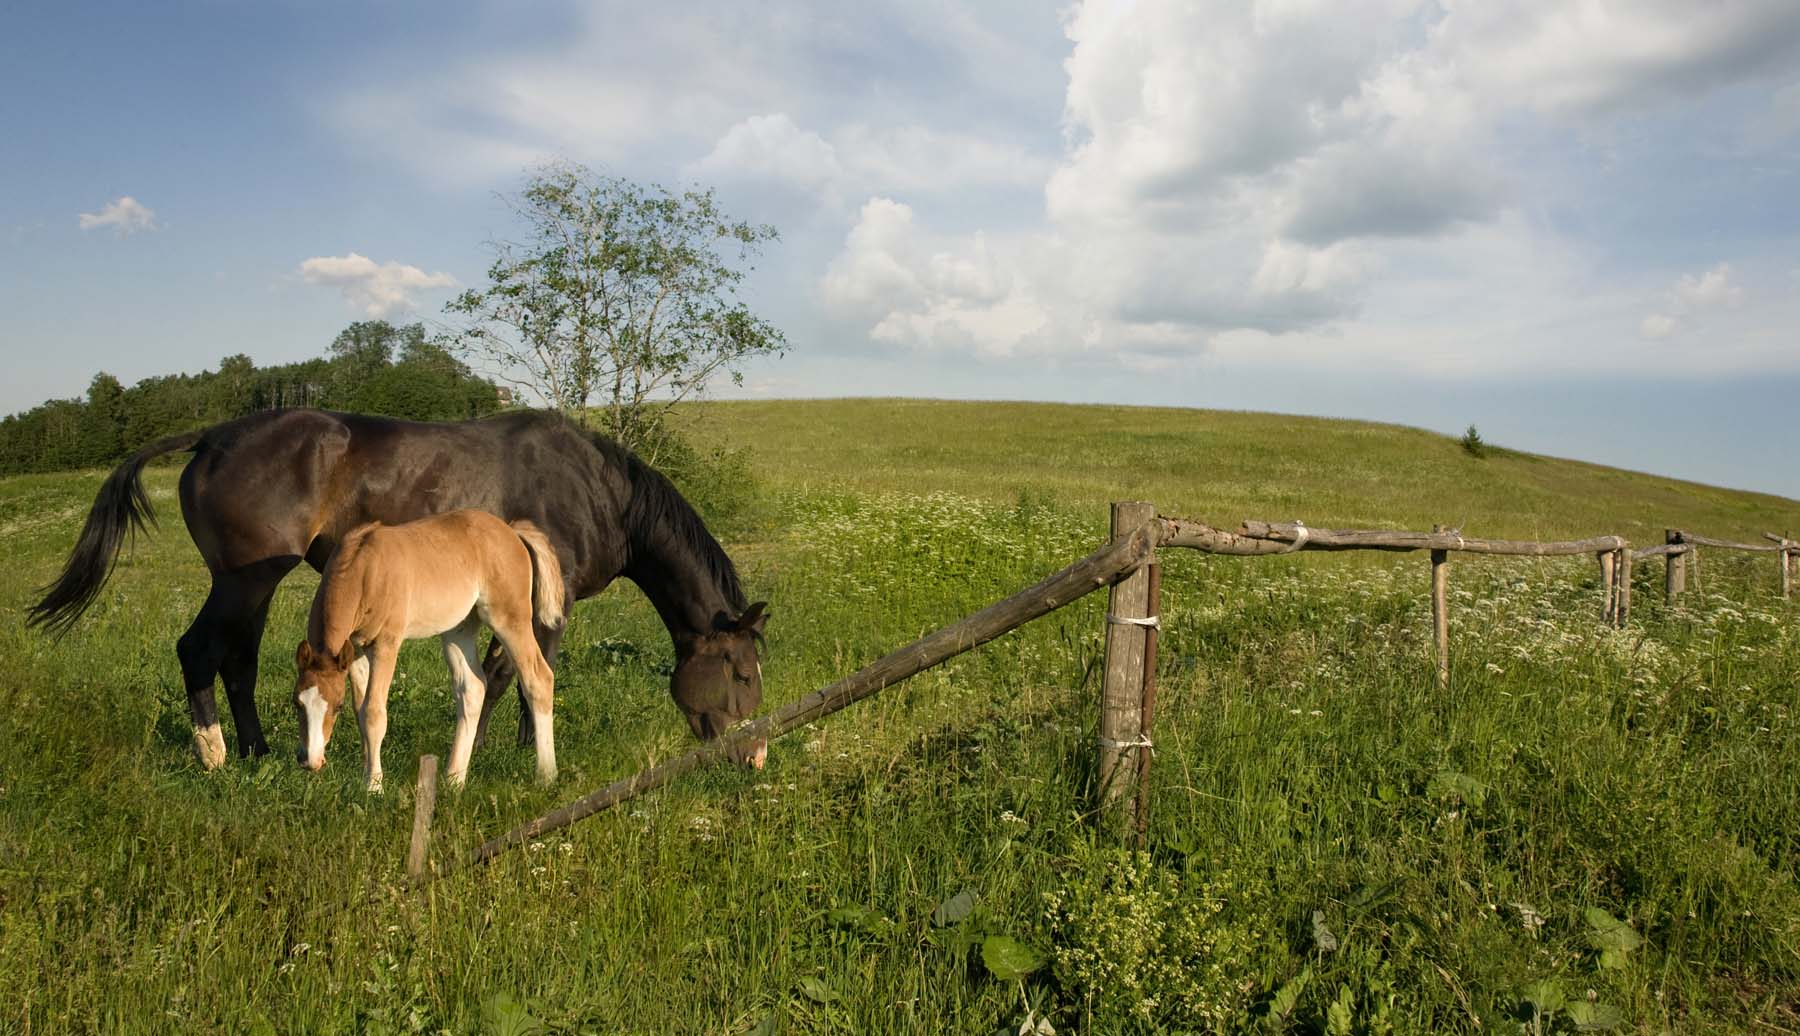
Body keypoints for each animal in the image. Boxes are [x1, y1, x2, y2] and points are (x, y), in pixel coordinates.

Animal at [293, 510, 568, 791]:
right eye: (296, 703)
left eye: (337, 706)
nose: (310, 761)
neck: (363, 568)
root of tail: (512, 531)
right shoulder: (356, 650)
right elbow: (360, 709)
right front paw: (365, 776)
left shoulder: (386, 644)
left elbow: (373, 713)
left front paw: (374, 787)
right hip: (459, 629)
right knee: (472, 688)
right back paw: (454, 779)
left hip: (509, 620)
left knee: (538, 678)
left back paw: (546, 775)